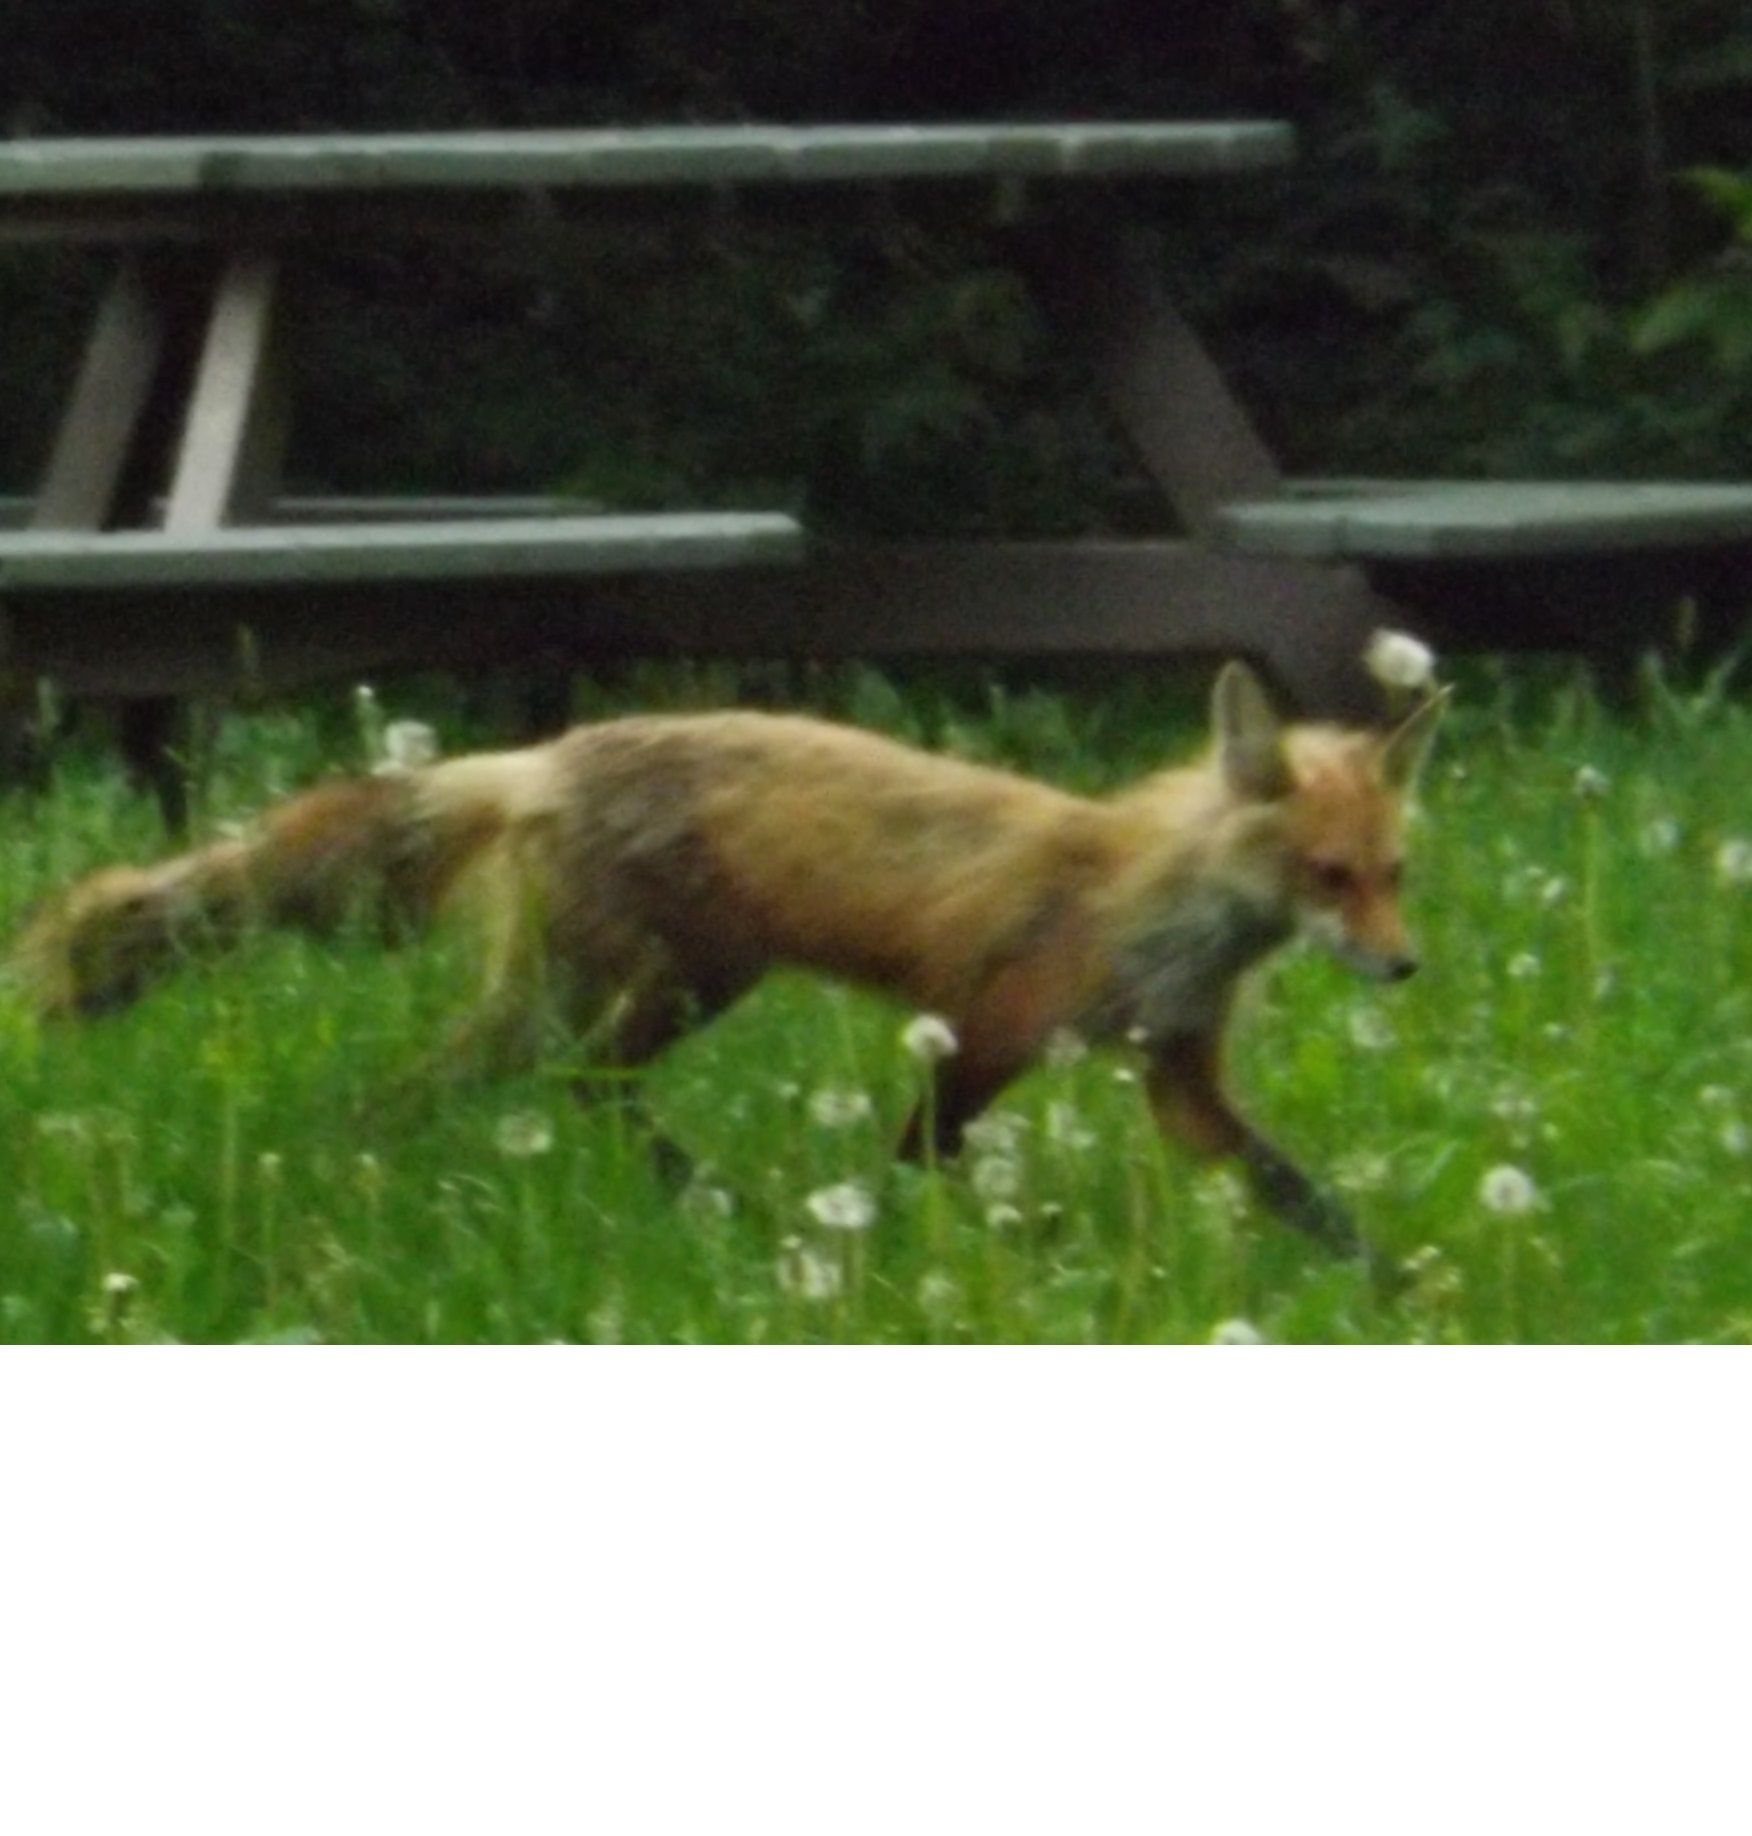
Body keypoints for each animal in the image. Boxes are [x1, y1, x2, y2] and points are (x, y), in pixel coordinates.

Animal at [9, 662, 1445, 1258]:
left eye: (1393, 874)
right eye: (1329, 877)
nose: (1403, 970)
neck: (1155, 914)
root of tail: (543, 757)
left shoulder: (1177, 1073)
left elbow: (1301, 1195)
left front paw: (1388, 1286)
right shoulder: (986, 1029)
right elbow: (916, 1162)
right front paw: (925, 1256)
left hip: (655, 994)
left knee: (580, 1093)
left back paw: (704, 1198)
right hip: (622, 994)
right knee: (440, 1091)